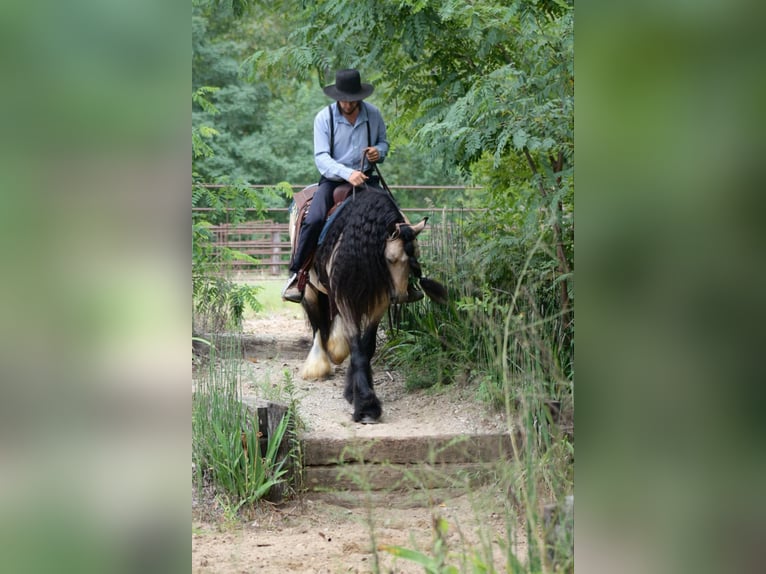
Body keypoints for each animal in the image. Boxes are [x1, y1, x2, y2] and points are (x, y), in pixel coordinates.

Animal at [292, 187, 450, 426]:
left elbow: (366, 346)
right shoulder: (346, 300)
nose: (401, 296)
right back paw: (318, 366)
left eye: (414, 257)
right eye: (391, 259)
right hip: (311, 290)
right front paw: (366, 406)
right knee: (318, 325)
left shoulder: (378, 303)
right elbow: (356, 347)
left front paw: (355, 393)